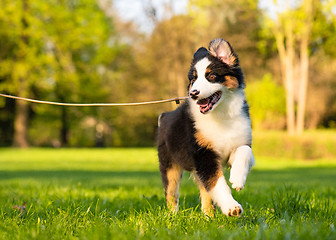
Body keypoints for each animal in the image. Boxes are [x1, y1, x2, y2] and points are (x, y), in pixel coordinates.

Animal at [158, 38, 255, 217]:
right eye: (193, 79)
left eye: (211, 76)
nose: (193, 93)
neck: (221, 114)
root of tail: (165, 115)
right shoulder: (203, 154)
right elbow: (217, 183)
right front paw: (232, 207)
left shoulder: (238, 143)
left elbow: (245, 150)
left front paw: (237, 179)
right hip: (169, 165)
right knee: (171, 193)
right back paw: (172, 216)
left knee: (204, 192)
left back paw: (208, 215)